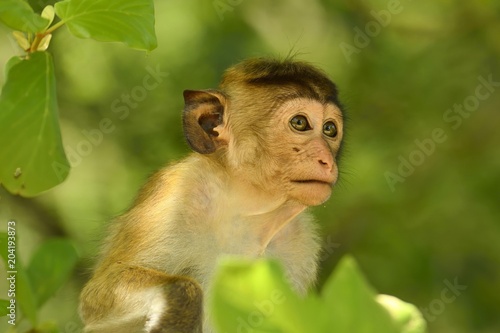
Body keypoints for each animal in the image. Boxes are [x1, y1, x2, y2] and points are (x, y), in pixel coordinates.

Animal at [79, 56, 344, 330]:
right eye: (300, 123)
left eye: (329, 129)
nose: (326, 160)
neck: (245, 210)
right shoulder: (174, 196)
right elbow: (97, 295)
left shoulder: (301, 244)